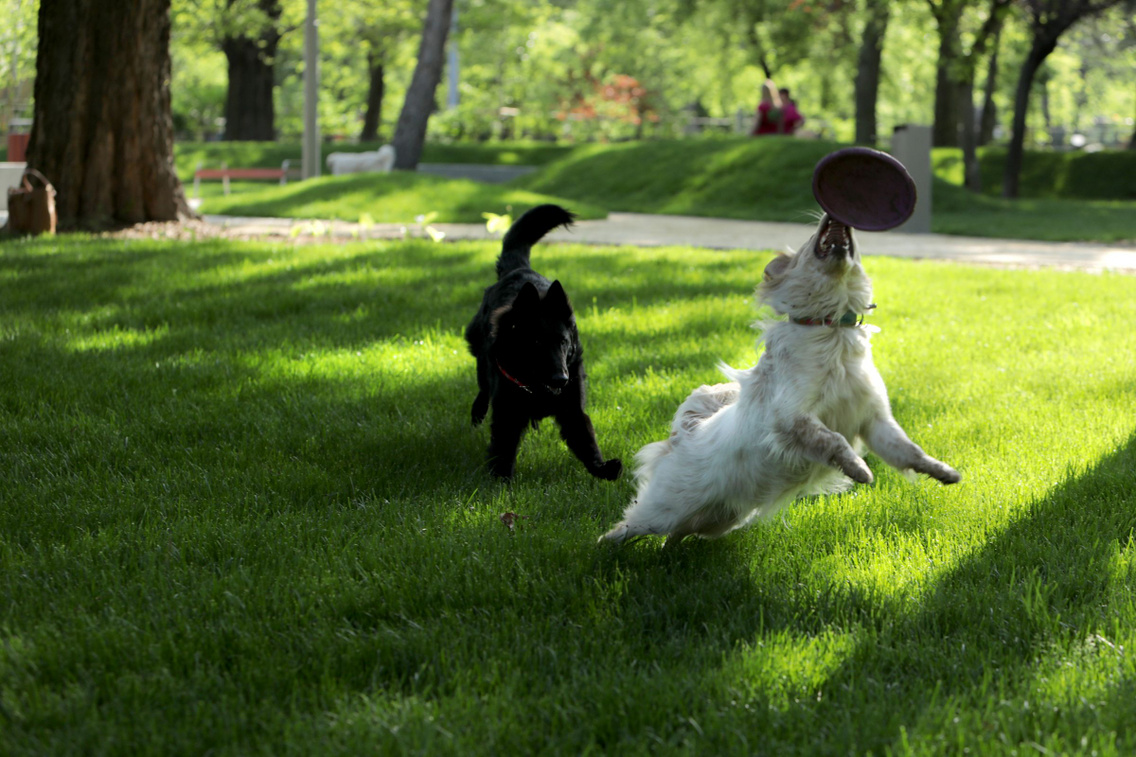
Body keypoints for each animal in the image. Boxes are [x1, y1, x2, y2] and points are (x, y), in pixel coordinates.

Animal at [461, 203, 622, 479]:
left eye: (564, 342)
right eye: (535, 342)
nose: (561, 379)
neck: (537, 387)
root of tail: (518, 270)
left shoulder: (572, 408)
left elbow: (586, 441)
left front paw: (603, 469)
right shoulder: (507, 412)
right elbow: (503, 447)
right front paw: (500, 480)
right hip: (481, 356)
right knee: (483, 388)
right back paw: (477, 414)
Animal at [599, 212, 963, 543]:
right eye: (811, 237)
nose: (833, 214)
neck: (831, 330)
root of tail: (684, 434)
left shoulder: (875, 421)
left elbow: (909, 451)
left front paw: (944, 472)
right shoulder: (791, 418)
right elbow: (834, 440)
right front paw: (860, 469)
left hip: (718, 520)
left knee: (678, 535)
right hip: (659, 512)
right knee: (627, 528)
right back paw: (605, 548)